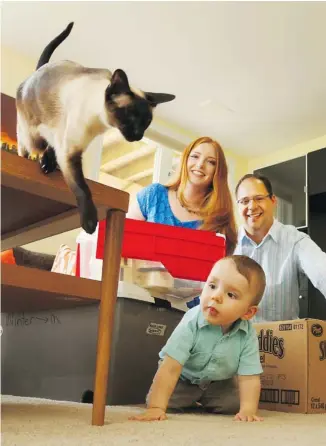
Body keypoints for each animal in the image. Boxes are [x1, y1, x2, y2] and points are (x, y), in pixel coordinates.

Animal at [16, 21, 176, 233]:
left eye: (146, 122)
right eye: (131, 116)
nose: (139, 136)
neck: (99, 124)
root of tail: (40, 70)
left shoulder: (68, 146)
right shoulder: (70, 153)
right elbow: (83, 188)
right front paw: (90, 223)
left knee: (48, 147)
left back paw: (48, 164)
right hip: (31, 136)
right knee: (27, 148)